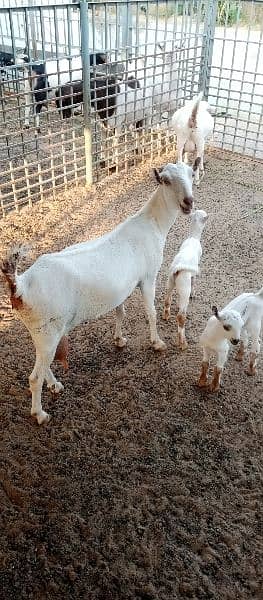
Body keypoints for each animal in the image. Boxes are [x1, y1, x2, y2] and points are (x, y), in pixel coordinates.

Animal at [1, 162, 195, 424]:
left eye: (192, 174)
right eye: (165, 180)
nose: (188, 202)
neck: (152, 224)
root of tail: (20, 284)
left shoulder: (122, 288)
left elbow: (120, 313)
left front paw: (119, 339)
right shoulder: (147, 277)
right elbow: (151, 312)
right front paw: (157, 343)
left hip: (41, 330)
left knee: (43, 360)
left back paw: (54, 384)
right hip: (47, 329)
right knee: (34, 376)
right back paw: (40, 414)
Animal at [163, 211, 208, 352]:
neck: (193, 237)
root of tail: (177, 269)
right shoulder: (194, 271)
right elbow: (194, 281)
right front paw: (194, 293)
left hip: (170, 282)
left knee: (167, 299)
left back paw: (166, 315)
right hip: (184, 290)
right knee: (181, 315)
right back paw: (182, 343)